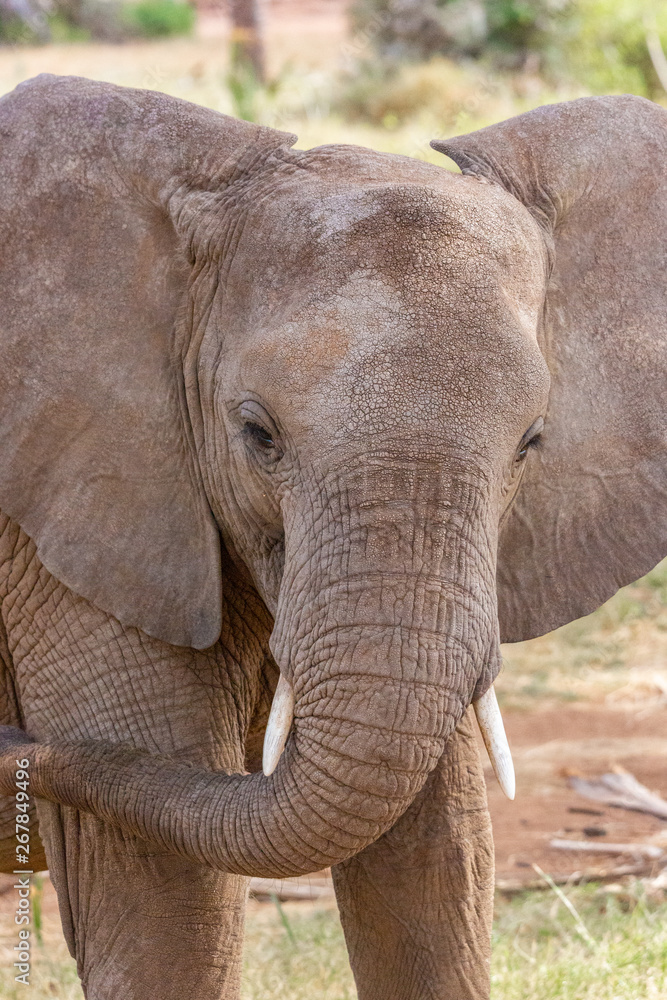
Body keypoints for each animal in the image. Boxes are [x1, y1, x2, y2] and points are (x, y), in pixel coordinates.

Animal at [0, 72, 664, 1000]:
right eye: (257, 434)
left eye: (531, 441)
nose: (14, 747)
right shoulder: (70, 511)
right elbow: (163, 900)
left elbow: (433, 864)